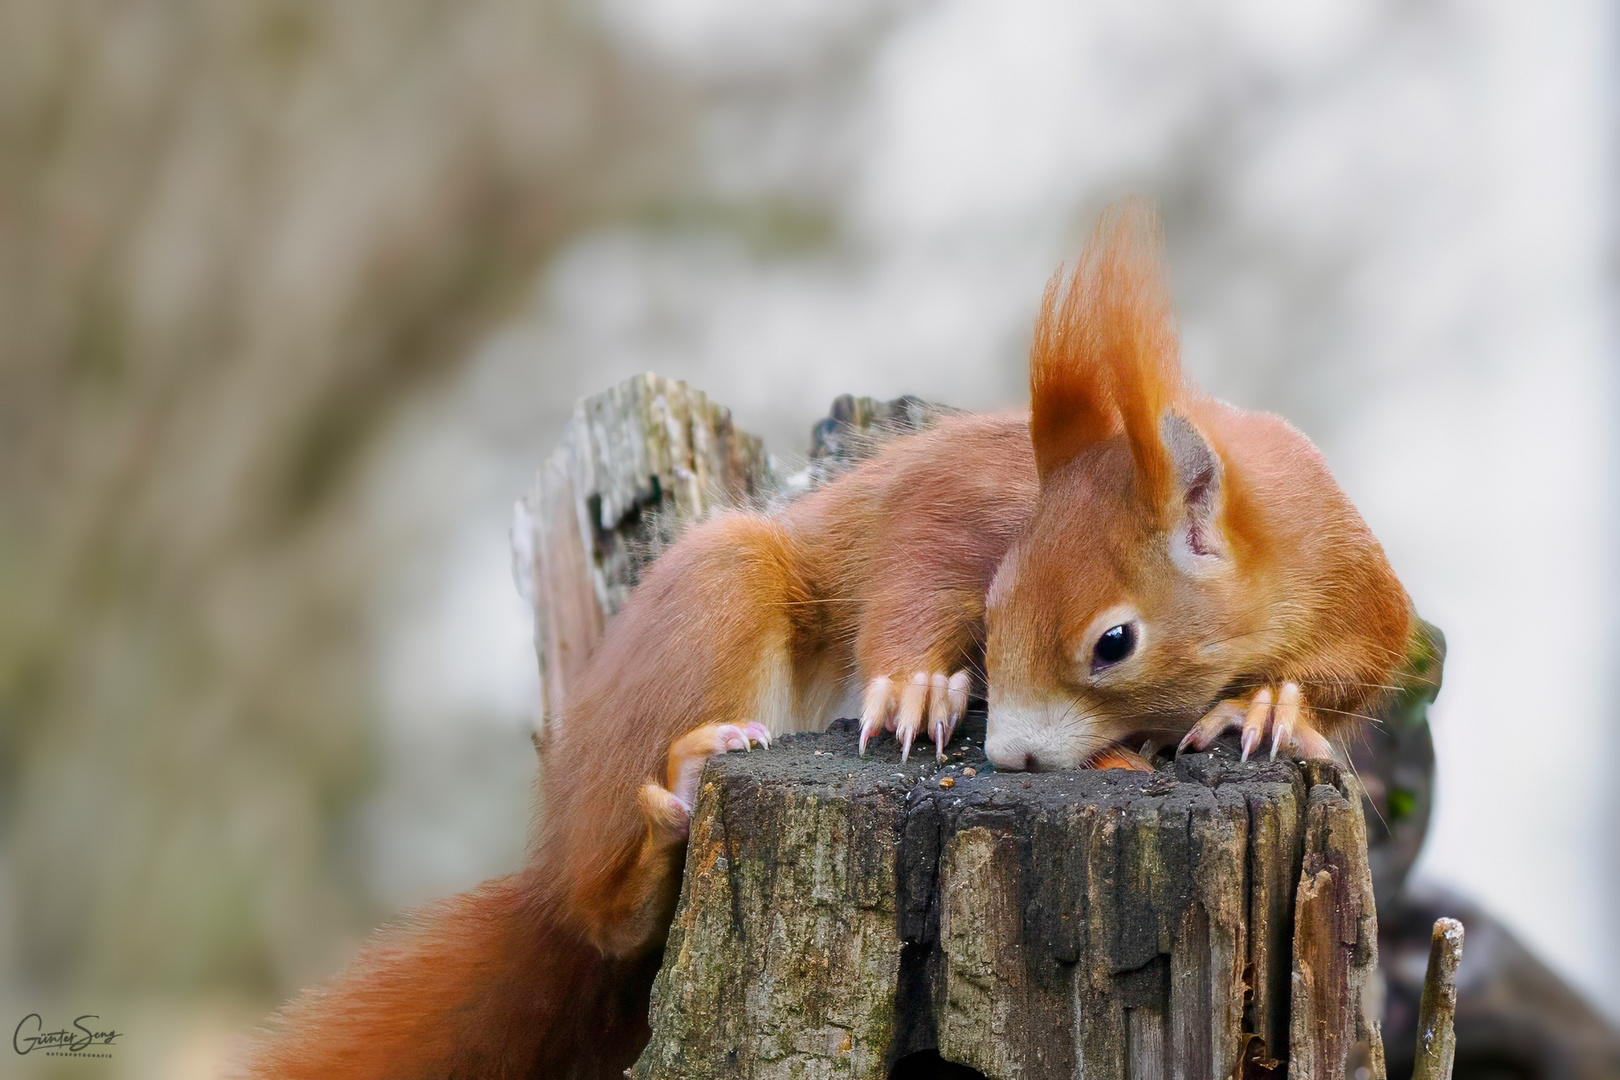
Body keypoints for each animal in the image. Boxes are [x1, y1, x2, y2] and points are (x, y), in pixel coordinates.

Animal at [234, 204, 1412, 1080]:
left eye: (1114, 642)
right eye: (996, 605)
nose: (1012, 757)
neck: (1277, 543)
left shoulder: (1363, 594)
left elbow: (1357, 668)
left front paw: (1270, 706)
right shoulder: (969, 498)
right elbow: (915, 550)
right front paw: (914, 687)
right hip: (705, 623)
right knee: (605, 907)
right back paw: (662, 824)